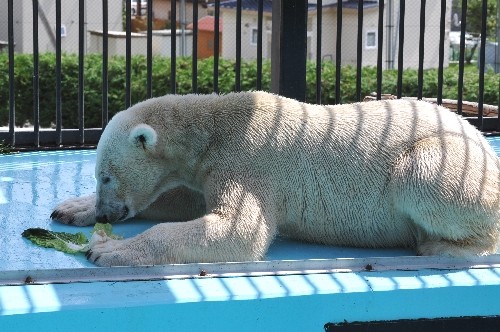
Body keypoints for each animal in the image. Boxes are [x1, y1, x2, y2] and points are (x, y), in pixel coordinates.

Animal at [49, 89, 500, 266]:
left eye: (107, 176)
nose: (107, 212)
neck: (215, 128)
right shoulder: (212, 166)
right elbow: (184, 199)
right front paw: (71, 209)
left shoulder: (250, 159)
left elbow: (236, 229)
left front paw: (108, 249)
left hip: (447, 162)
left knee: (423, 179)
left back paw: (440, 246)